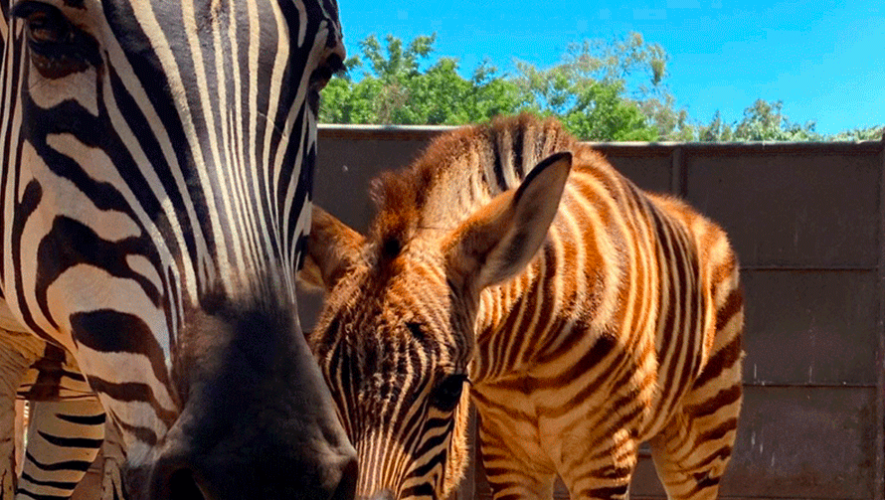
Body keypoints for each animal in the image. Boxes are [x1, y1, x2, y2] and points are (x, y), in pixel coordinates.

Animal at [302, 114, 744, 500]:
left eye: (450, 389)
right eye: (322, 380)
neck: (528, 354)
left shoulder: (605, 455)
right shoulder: (507, 454)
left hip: (703, 435)